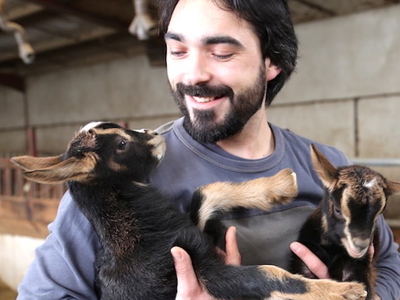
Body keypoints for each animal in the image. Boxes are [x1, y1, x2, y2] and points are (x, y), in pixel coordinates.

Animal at [10, 122, 368, 300]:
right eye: (121, 145)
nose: (154, 135)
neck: (133, 226)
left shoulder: (192, 233)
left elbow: (208, 192)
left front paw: (280, 185)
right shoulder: (207, 273)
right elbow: (270, 275)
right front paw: (348, 291)